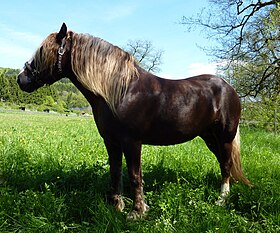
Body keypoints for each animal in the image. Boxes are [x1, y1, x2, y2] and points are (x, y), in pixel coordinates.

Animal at [16, 22, 250, 219]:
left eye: (43, 52)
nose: (21, 79)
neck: (121, 91)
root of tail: (229, 88)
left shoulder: (132, 142)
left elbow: (134, 175)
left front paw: (137, 212)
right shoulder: (111, 142)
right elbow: (115, 172)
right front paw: (116, 206)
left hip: (224, 137)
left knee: (226, 164)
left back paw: (221, 200)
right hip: (209, 138)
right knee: (223, 163)